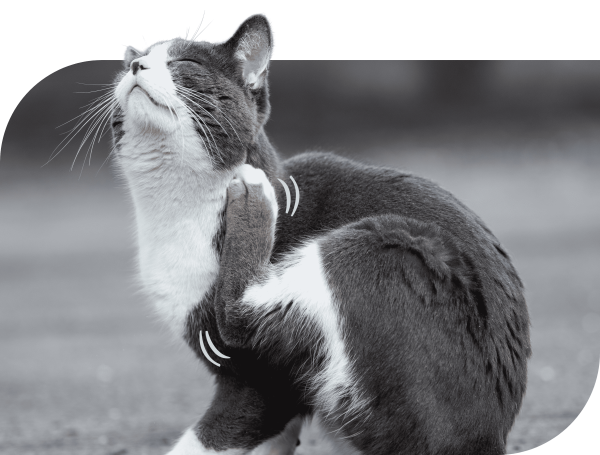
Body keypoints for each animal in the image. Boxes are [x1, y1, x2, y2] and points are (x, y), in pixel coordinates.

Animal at [109, 13, 528, 455]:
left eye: (185, 63)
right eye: (130, 64)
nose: (135, 66)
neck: (175, 213)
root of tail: (489, 436)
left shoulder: (260, 381)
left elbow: (213, 433)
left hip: (384, 244)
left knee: (239, 313)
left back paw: (254, 197)